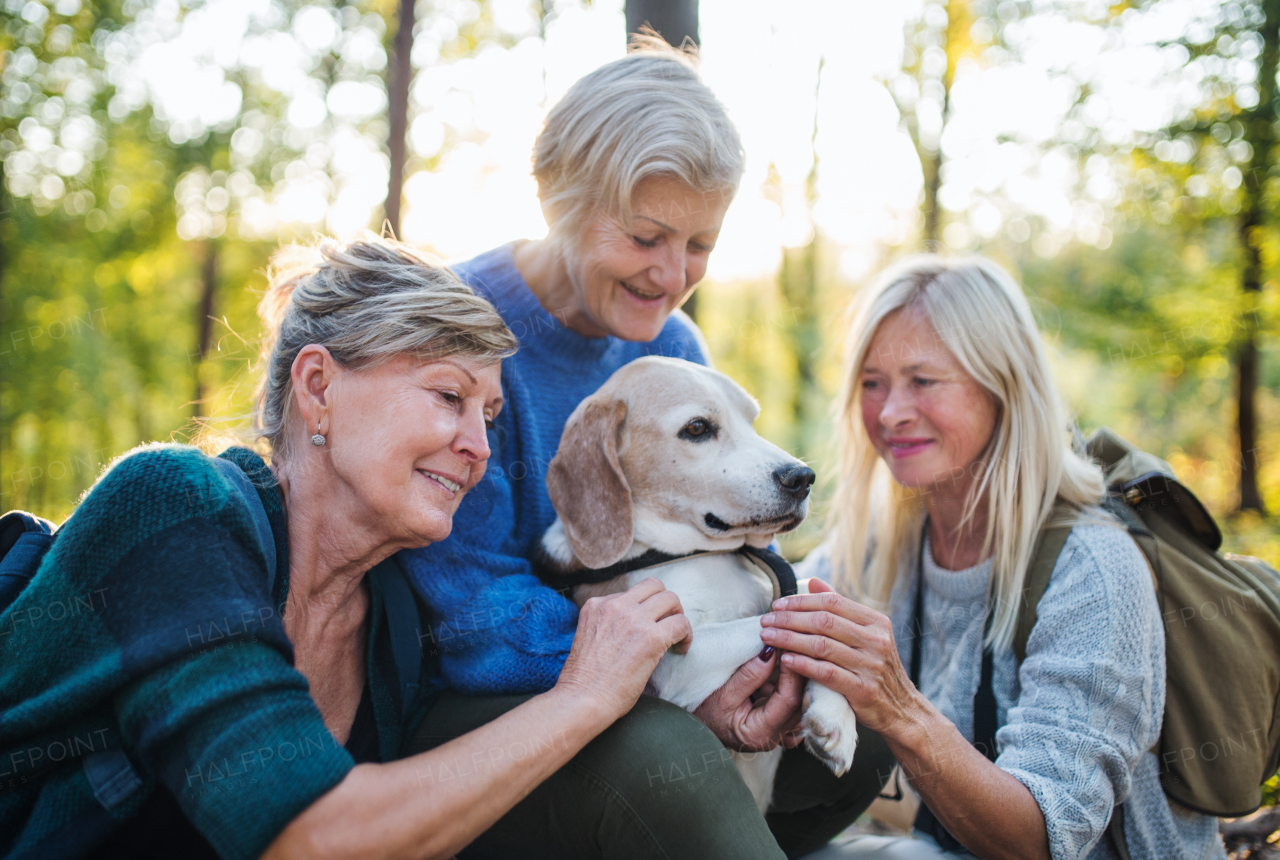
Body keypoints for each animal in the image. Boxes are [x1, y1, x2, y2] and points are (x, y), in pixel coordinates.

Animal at [540, 353, 860, 808]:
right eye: (696, 428)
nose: (801, 477)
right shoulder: (677, 656)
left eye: (752, 420)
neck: (704, 553)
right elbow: (776, 623)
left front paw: (836, 716)